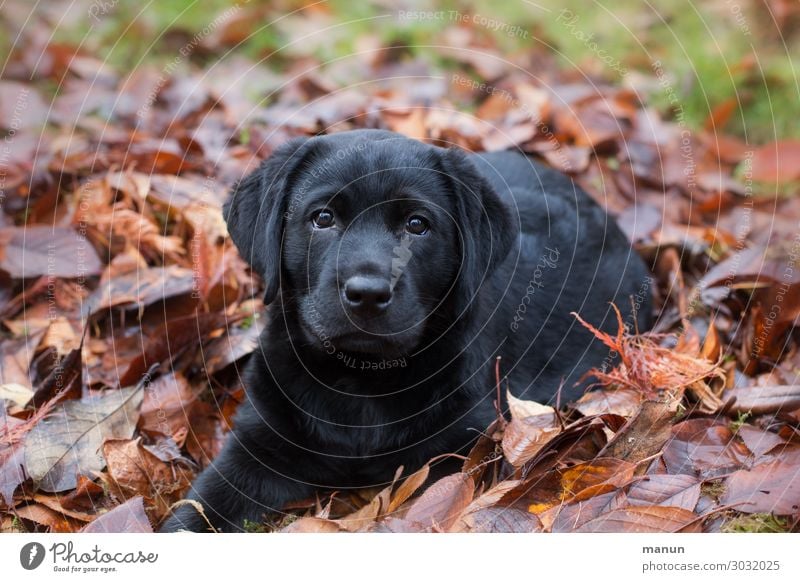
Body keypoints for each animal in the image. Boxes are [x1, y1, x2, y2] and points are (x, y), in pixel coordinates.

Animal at [161, 129, 648, 532]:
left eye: (417, 224)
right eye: (322, 218)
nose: (368, 293)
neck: (360, 382)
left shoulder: (460, 449)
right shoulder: (256, 443)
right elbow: (194, 512)